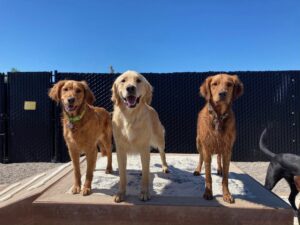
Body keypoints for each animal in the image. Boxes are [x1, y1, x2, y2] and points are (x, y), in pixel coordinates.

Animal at [112, 70, 169, 202]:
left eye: (138, 80)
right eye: (123, 80)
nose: (130, 88)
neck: (130, 117)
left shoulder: (144, 148)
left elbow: (146, 176)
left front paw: (144, 192)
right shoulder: (120, 150)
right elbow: (122, 175)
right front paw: (121, 193)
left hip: (159, 139)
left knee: (162, 153)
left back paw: (164, 167)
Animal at [195, 74, 244, 204]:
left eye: (229, 84)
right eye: (214, 84)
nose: (222, 93)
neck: (219, 116)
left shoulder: (227, 149)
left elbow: (225, 177)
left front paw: (226, 194)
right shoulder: (206, 148)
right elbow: (208, 175)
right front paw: (208, 193)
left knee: (218, 157)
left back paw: (219, 169)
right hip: (198, 142)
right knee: (201, 157)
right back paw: (197, 169)